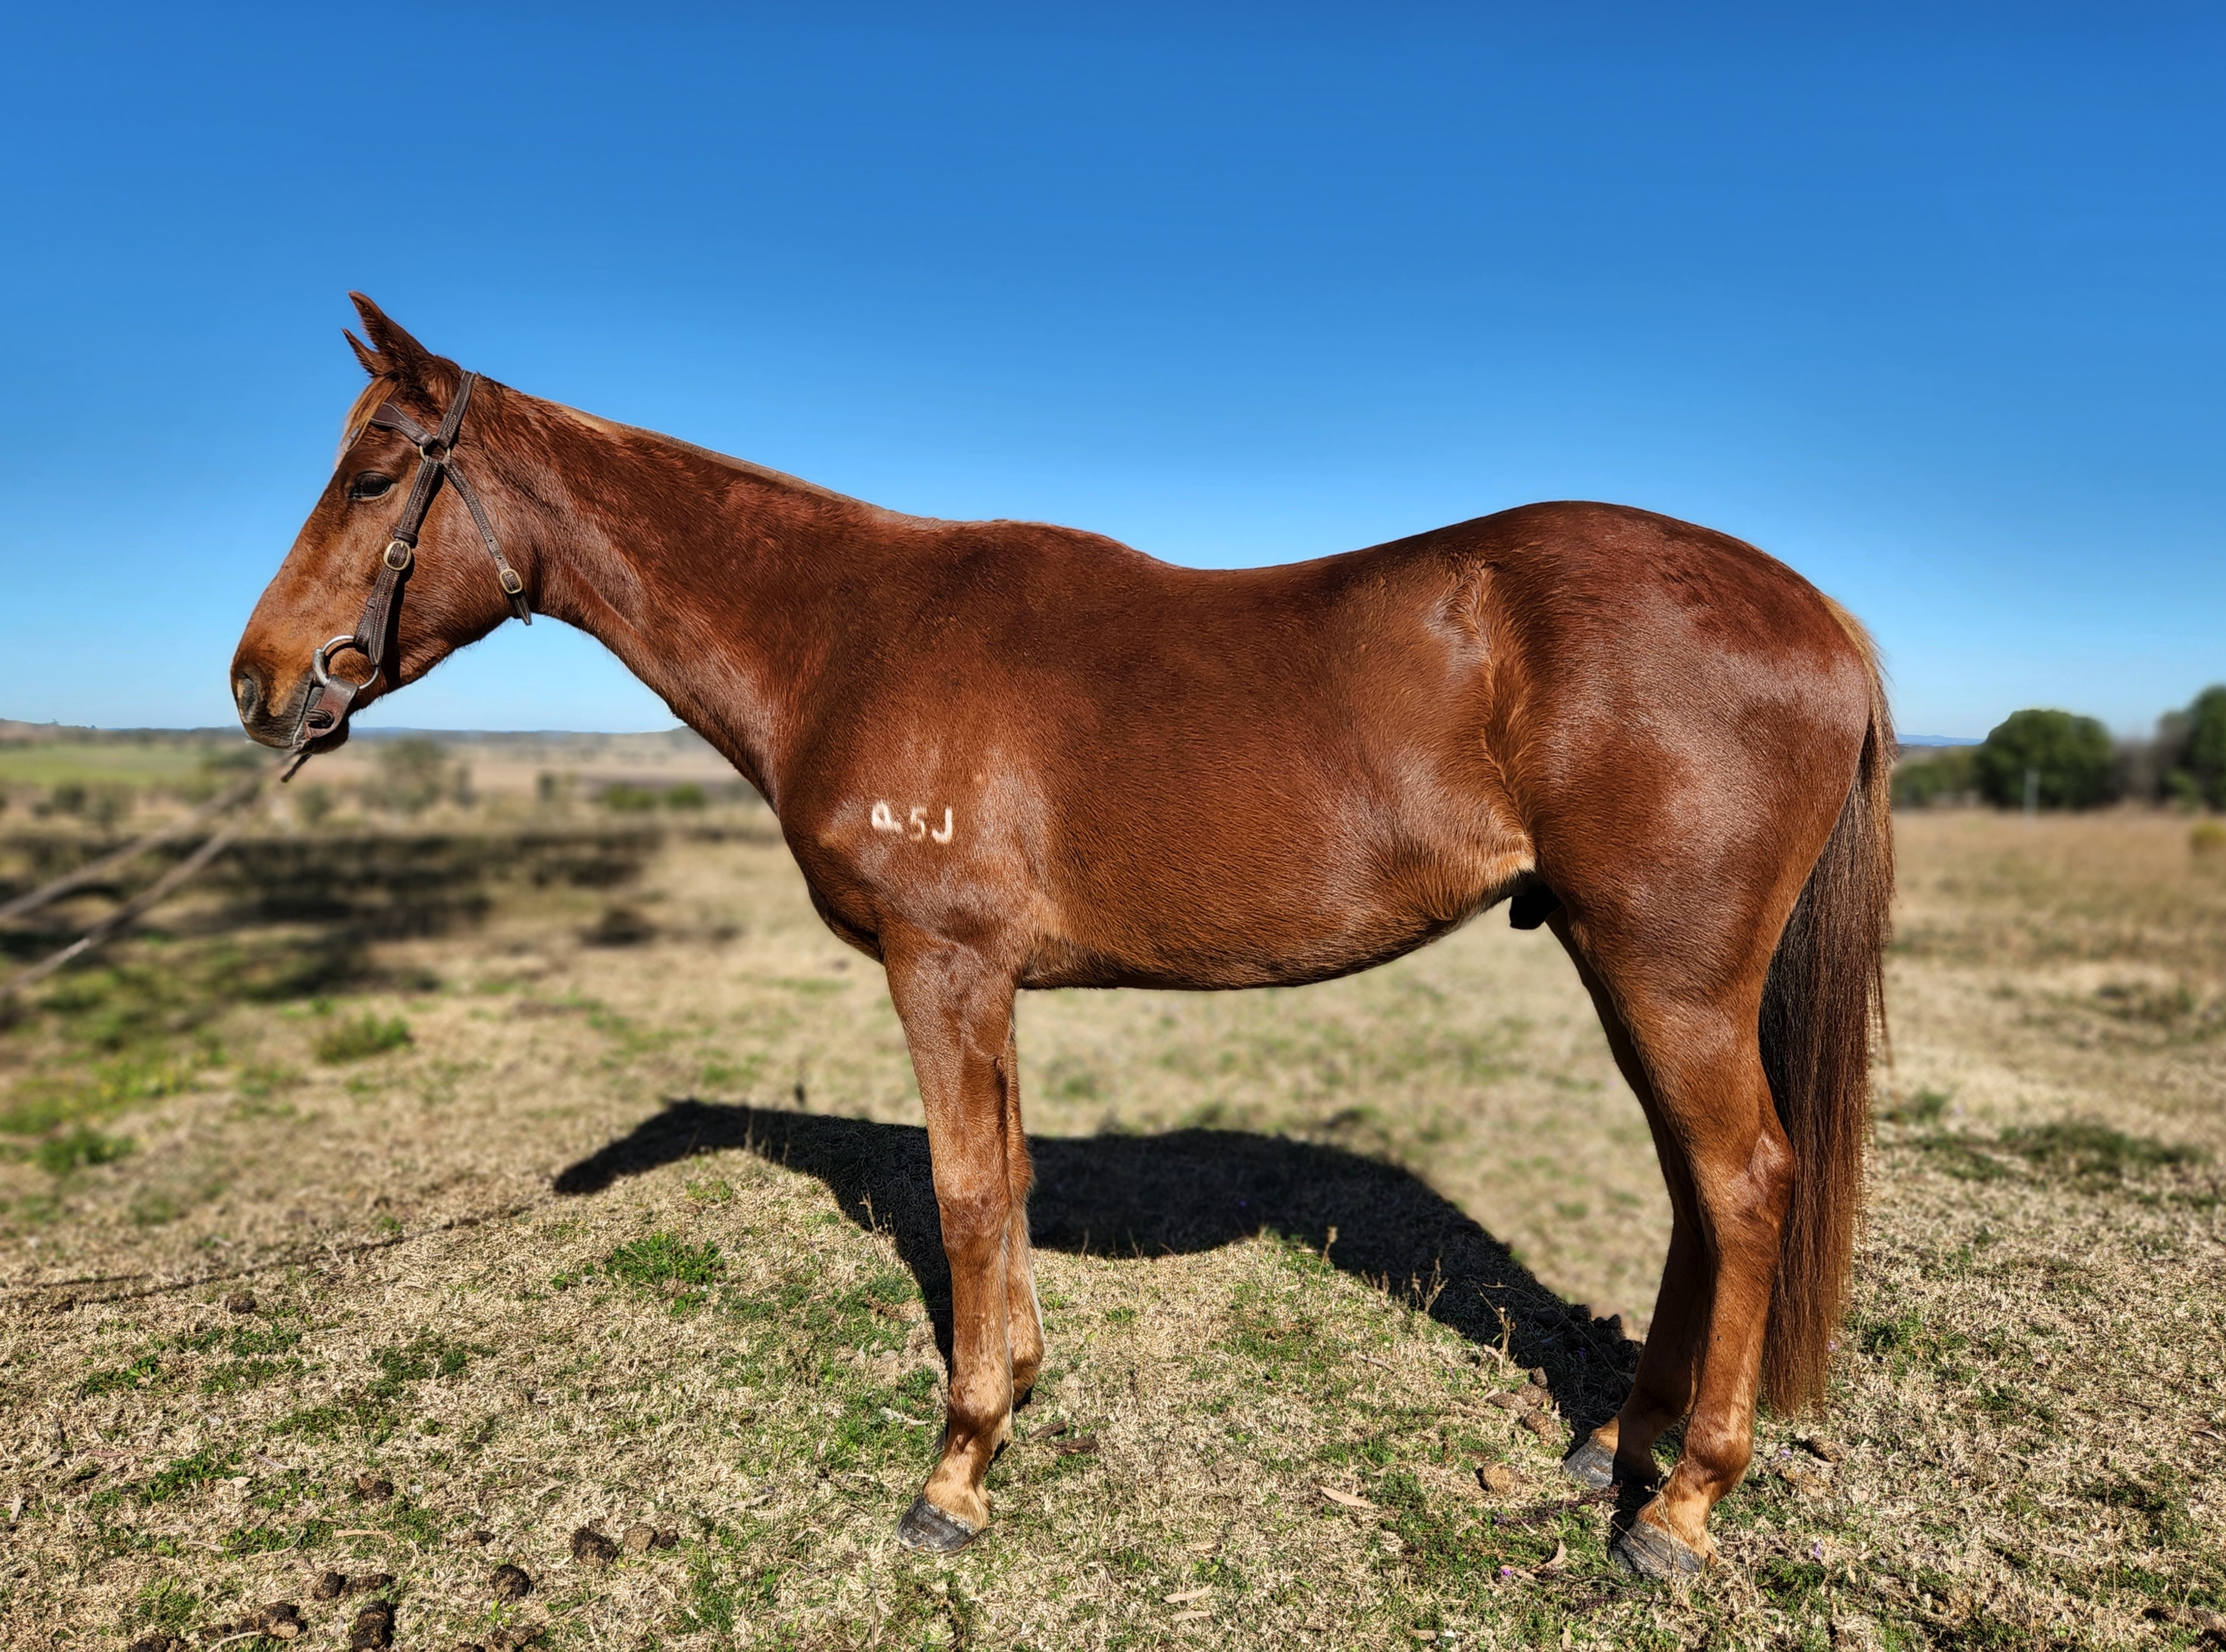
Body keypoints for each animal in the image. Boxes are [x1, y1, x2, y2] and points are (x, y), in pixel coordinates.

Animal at [231, 295, 1892, 1578]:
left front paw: (953, 1474)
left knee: (1744, 1184)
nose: (258, 684)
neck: (848, 631)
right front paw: (1011, 1398)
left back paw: (1677, 1513)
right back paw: (1615, 1444)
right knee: (1694, 1192)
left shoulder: (942, 965)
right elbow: (1009, 1181)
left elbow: (968, 1195)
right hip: (1632, 968)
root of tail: (1817, 614)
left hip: (1666, 972)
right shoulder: (989, 982)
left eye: (374, 478)